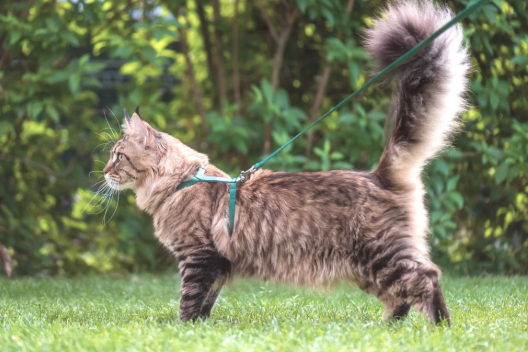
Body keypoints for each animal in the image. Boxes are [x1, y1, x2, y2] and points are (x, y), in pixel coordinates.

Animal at [102, 0, 466, 326]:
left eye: (118, 156)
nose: (104, 171)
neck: (181, 183)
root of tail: (378, 174)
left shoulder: (198, 256)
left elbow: (189, 299)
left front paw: (183, 329)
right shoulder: (217, 263)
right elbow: (207, 301)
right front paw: (201, 326)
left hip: (382, 253)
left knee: (426, 278)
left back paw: (440, 327)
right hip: (365, 267)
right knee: (400, 297)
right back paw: (385, 327)